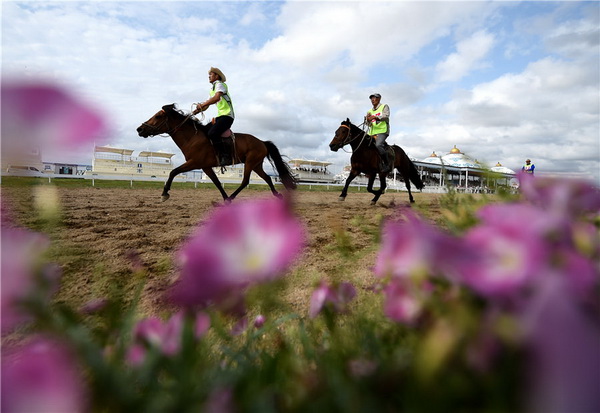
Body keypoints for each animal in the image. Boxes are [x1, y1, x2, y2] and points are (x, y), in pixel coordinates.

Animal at [135, 104, 296, 202]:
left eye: (158, 116)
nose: (140, 129)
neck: (192, 137)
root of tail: (262, 142)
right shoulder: (205, 167)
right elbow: (217, 183)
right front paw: (224, 199)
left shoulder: (194, 163)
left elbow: (173, 172)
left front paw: (164, 194)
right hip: (256, 165)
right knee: (267, 178)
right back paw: (277, 195)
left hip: (250, 163)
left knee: (245, 181)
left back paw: (233, 197)